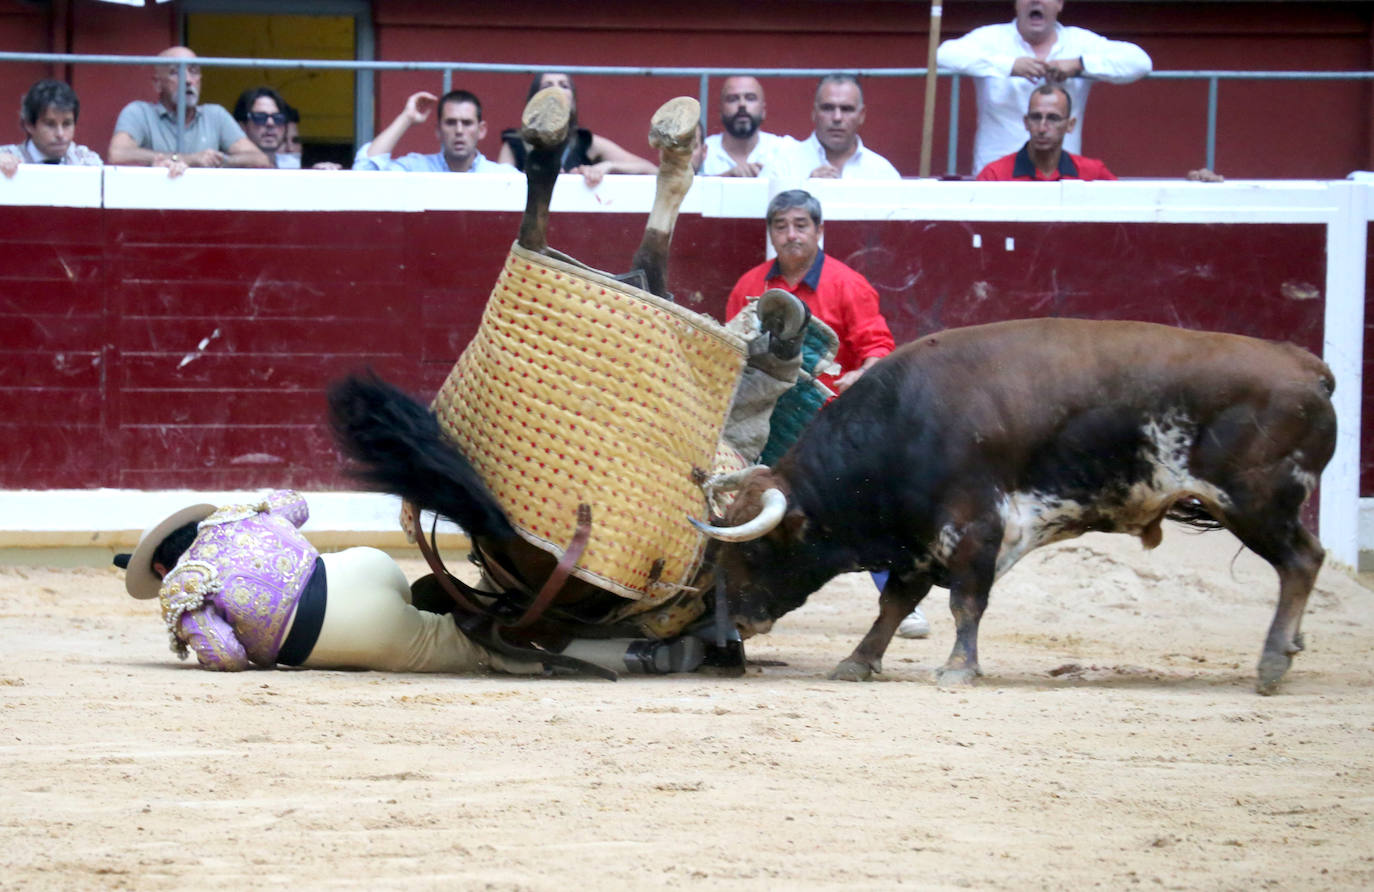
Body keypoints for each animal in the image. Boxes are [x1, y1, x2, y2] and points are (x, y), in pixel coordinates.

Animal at [692, 316, 1335, 692]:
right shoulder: (918, 541)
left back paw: (1273, 661)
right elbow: (893, 606)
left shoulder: (975, 526)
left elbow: (965, 604)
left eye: (755, 551)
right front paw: (859, 660)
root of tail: (1307, 366)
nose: (732, 624)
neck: (906, 421)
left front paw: (958, 668)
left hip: (1258, 502)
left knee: (1302, 561)